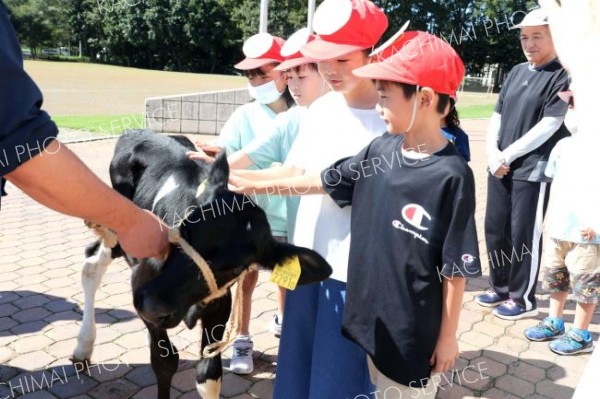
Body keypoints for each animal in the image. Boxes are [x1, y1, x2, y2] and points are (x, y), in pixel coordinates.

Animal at [71, 130, 332, 398]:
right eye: (184, 228)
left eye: (235, 267)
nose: (153, 307)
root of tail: (136, 131)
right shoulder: (140, 282)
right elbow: (164, 361)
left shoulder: (220, 301)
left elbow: (209, 375)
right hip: (120, 228)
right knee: (92, 264)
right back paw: (83, 347)